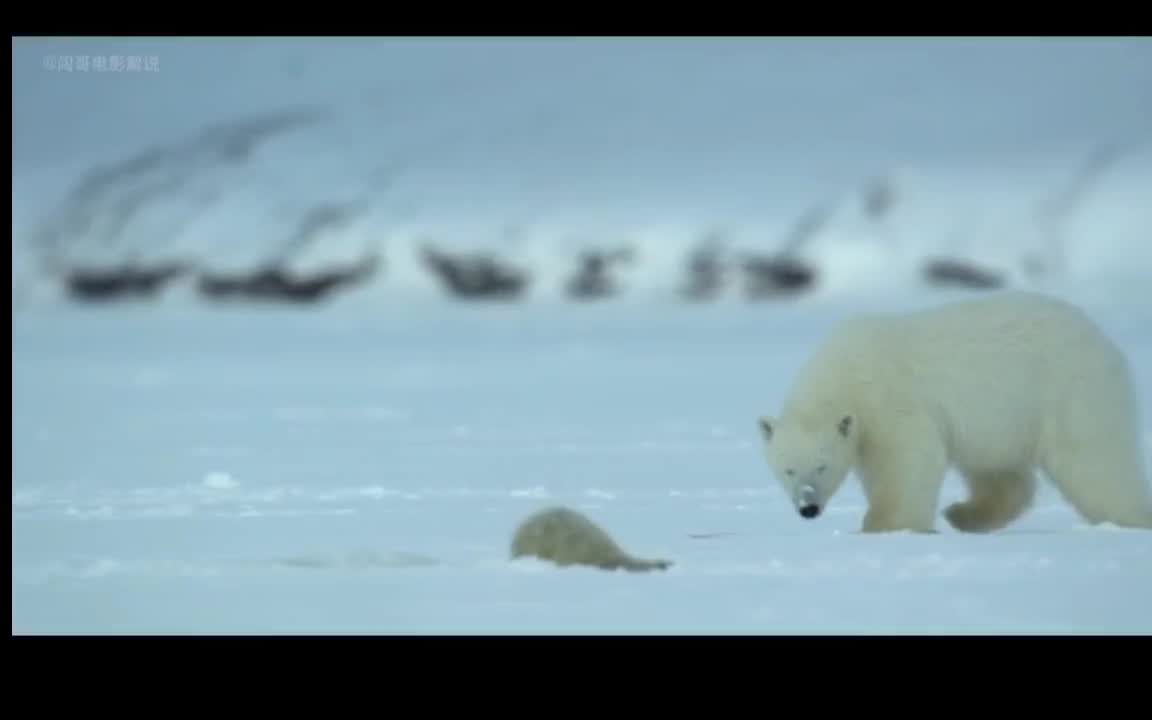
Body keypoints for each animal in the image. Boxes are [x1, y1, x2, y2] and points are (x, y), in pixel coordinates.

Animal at [755, 289, 1152, 529]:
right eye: (788, 469)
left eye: (822, 466)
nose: (808, 507)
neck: (844, 374)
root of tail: (1106, 343)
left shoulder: (889, 404)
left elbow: (908, 462)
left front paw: (884, 525)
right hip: (1005, 418)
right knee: (1000, 473)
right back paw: (964, 514)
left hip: (1070, 392)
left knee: (1094, 464)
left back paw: (1130, 518)